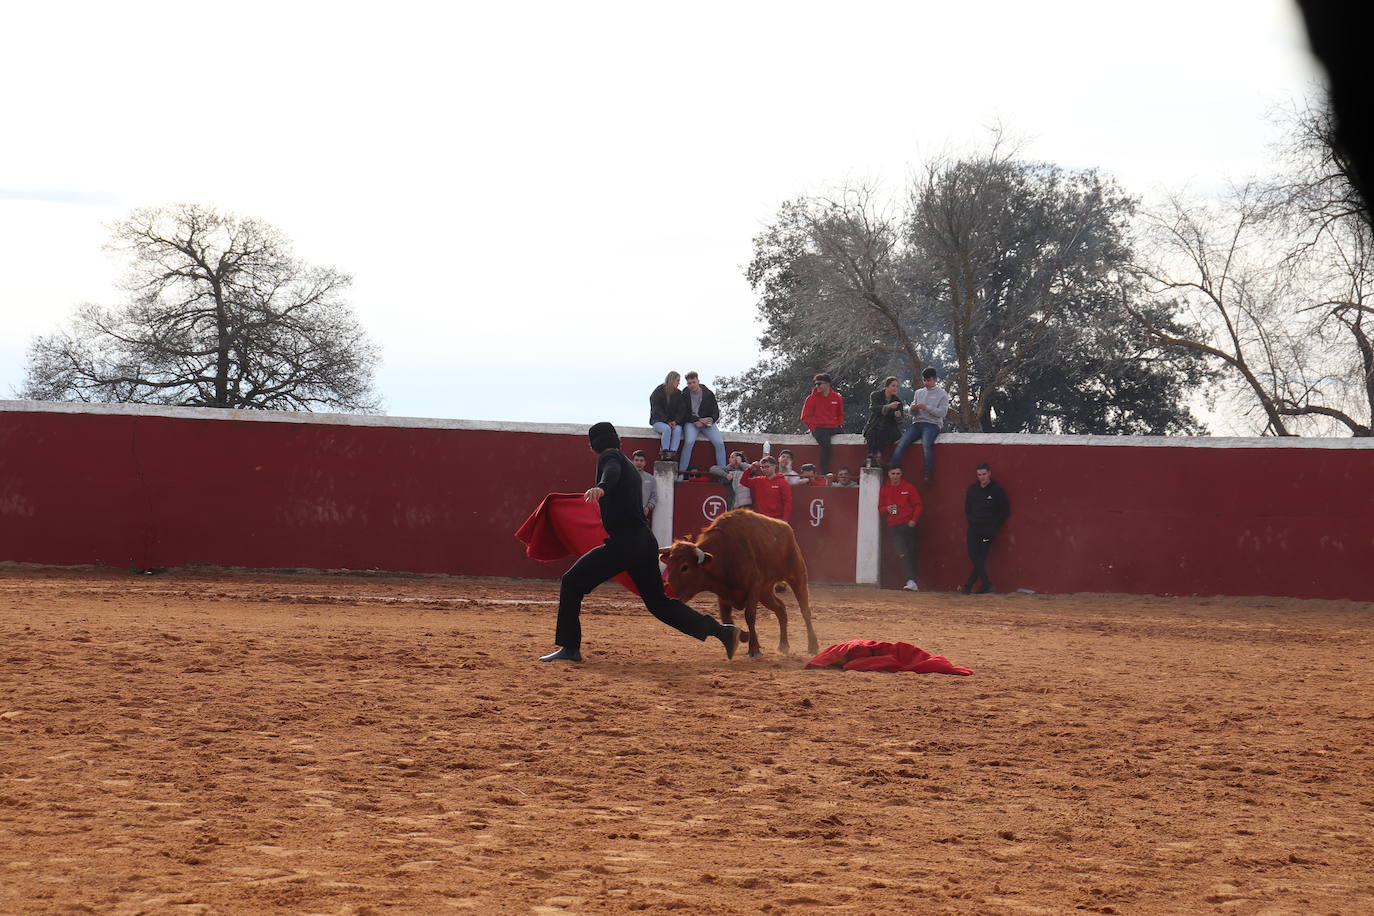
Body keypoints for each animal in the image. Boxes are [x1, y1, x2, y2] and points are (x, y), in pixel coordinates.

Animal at [654, 508, 813, 659]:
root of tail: (787, 528)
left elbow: (750, 616)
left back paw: (813, 646)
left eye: (685, 567)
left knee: (805, 610)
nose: (670, 593)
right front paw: (742, 636)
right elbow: (726, 618)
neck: (726, 554)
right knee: (780, 608)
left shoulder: (754, 586)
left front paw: (754, 649)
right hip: (765, 592)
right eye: (669, 565)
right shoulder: (723, 593)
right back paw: (783, 646)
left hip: (797, 576)